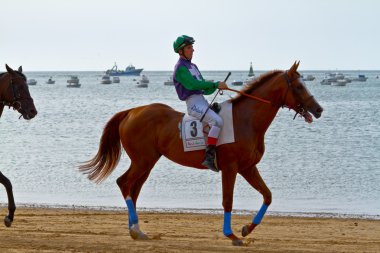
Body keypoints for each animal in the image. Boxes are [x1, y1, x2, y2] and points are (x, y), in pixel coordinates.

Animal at [80, 61, 324, 245]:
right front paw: (232, 235)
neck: (246, 120)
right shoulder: (230, 168)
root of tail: (131, 112)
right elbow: (228, 200)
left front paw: (247, 228)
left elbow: (268, 195)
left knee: (133, 188)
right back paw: (135, 229)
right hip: (143, 160)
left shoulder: (248, 167)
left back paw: (137, 230)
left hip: (147, 163)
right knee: (124, 183)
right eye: (299, 86)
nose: (319, 109)